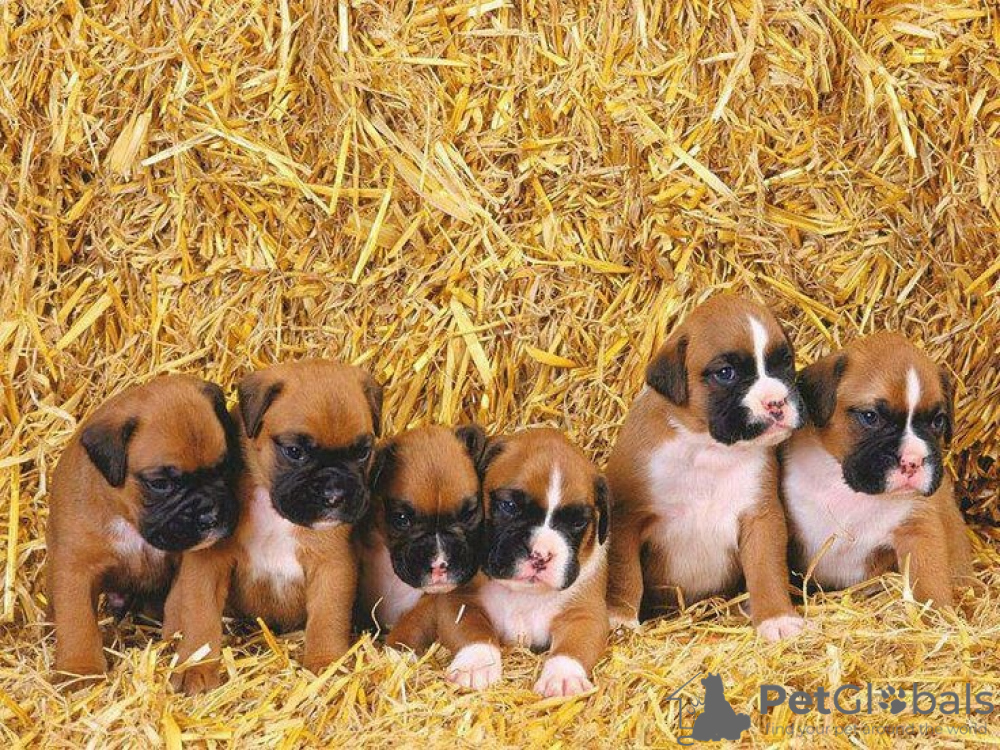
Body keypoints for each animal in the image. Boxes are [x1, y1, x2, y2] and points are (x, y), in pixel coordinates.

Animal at [46, 375, 240, 678]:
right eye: (160, 484)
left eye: (225, 467)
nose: (210, 516)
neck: (130, 519)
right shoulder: (75, 569)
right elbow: (77, 621)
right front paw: (80, 670)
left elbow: (179, 600)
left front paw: (175, 640)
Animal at [164, 360, 382, 694]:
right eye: (295, 452)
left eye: (361, 452)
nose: (334, 494)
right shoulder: (209, 562)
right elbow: (200, 616)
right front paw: (196, 667)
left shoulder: (332, 566)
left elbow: (328, 616)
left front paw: (325, 663)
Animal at [433, 428, 610, 697]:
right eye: (509, 506)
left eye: (577, 522)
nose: (541, 554)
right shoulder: (459, 601)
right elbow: (473, 632)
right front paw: (476, 663)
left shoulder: (585, 615)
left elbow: (573, 647)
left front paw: (563, 676)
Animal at [606, 294, 805, 641]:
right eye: (725, 373)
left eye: (784, 362)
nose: (776, 402)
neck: (707, 448)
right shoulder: (627, 517)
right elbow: (624, 572)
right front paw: (620, 617)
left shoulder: (761, 518)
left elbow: (767, 570)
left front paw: (776, 617)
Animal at [783, 331, 972, 606]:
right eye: (871, 416)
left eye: (938, 421)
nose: (913, 460)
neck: (848, 490)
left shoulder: (919, 531)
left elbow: (930, 583)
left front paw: (937, 614)